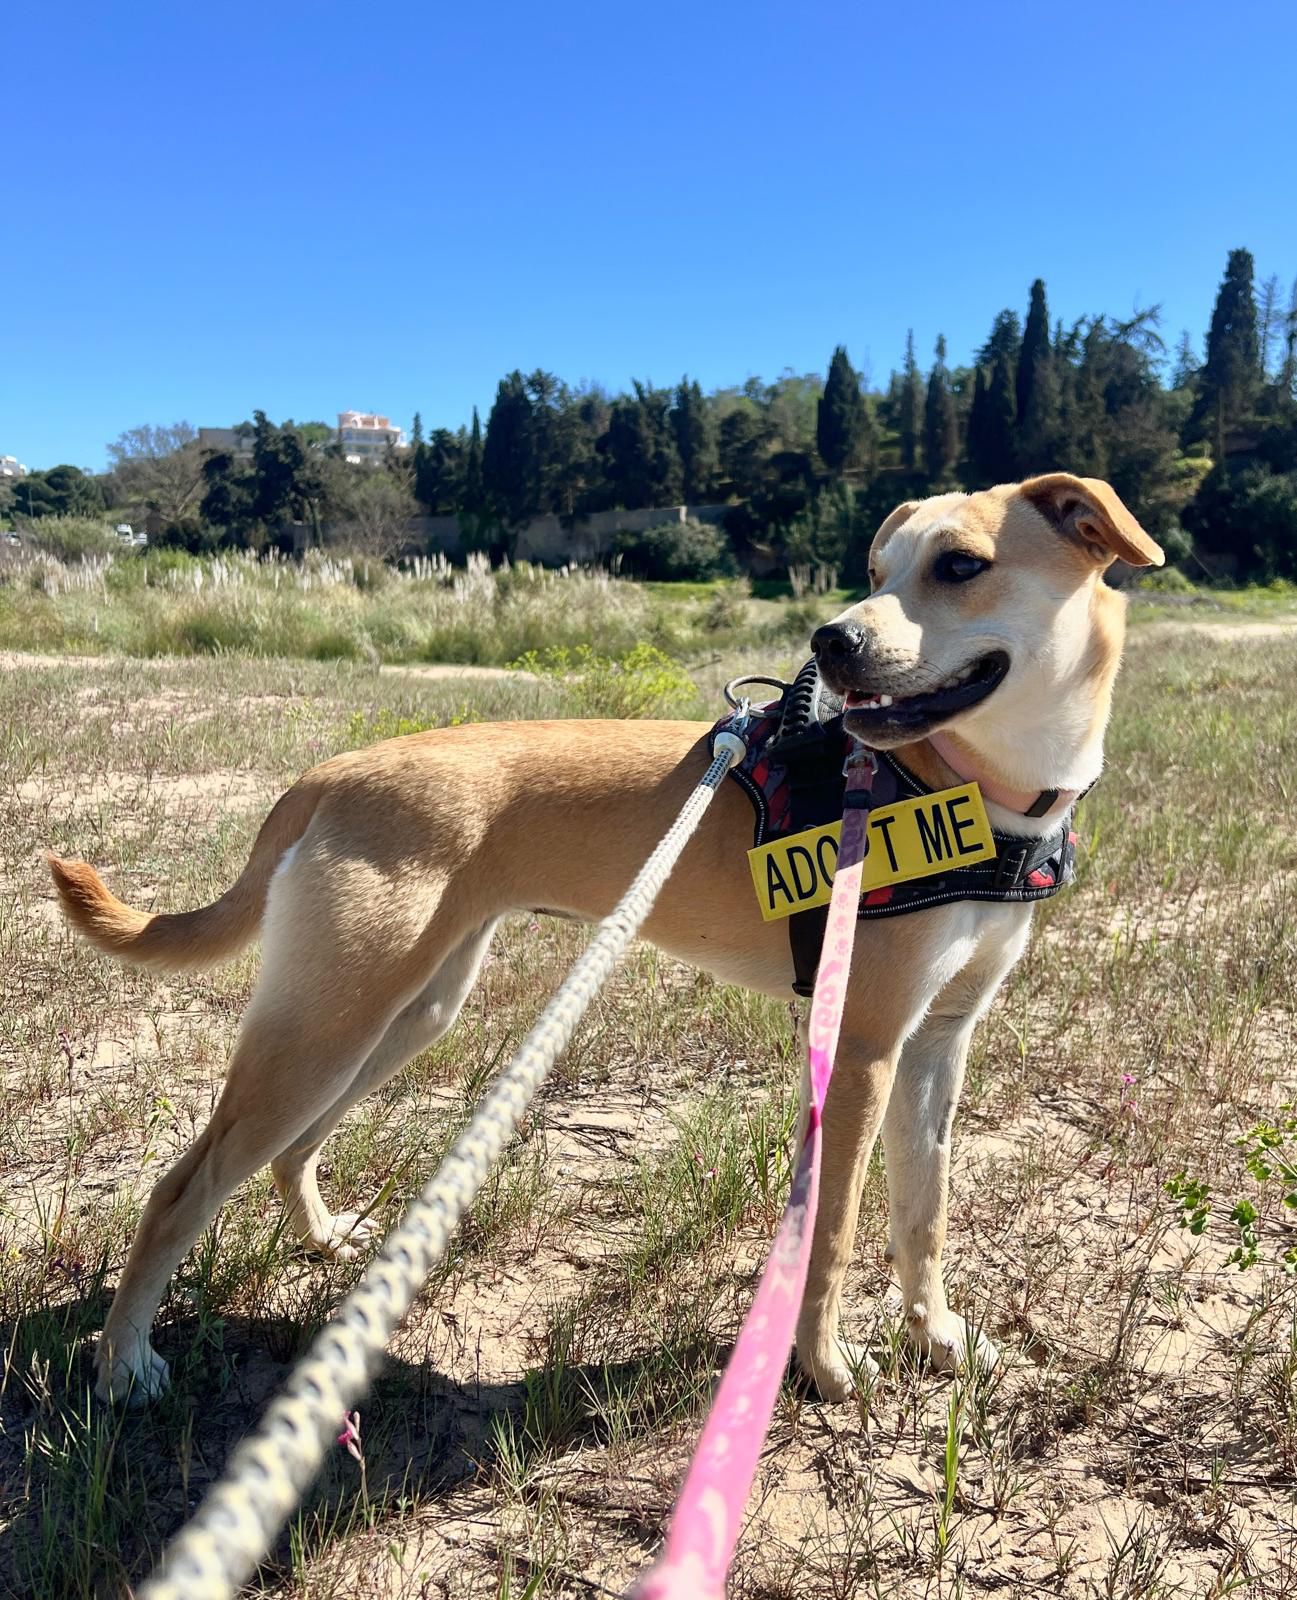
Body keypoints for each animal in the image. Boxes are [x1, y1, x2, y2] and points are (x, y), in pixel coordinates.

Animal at [46, 472, 1163, 1405]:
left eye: (961, 565)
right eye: (879, 569)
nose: (830, 640)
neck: (972, 789)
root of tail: (327, 774)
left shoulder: (937, 1047)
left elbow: (922, 1215)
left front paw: (936, 1336)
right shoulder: (860, 1051)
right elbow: (836, 1234)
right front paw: (821, 1367)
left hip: (398, 1016)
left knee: (291, 1153)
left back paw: (323, 1242)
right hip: (327, 1028)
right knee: (179, 1189)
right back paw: (123, 1363)